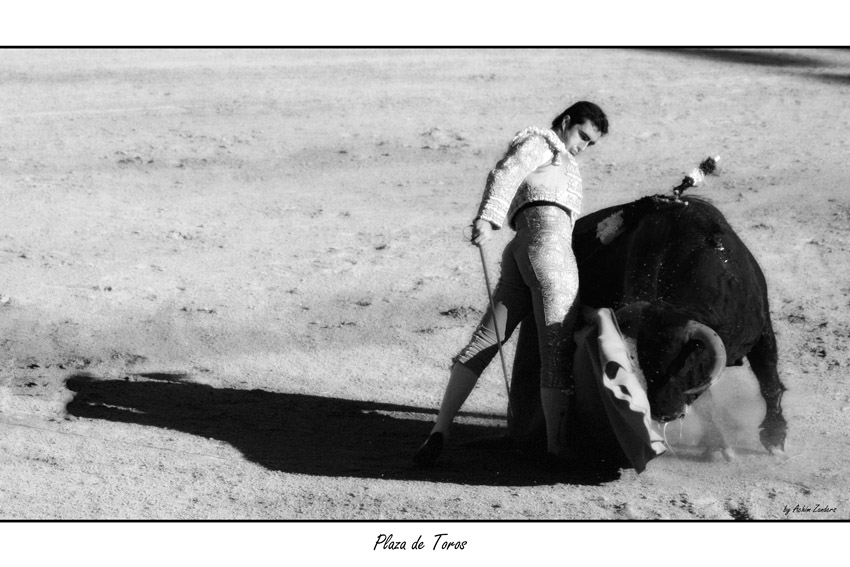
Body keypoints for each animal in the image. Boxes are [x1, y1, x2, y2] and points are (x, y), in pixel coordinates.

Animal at [504, 195, 788, 462]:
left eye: (684, 365)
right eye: (645, 362)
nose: (663, 412)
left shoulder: (762, 331)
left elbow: (769, 380)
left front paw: (775, 438)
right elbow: (707, 401)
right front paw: (718, 445)